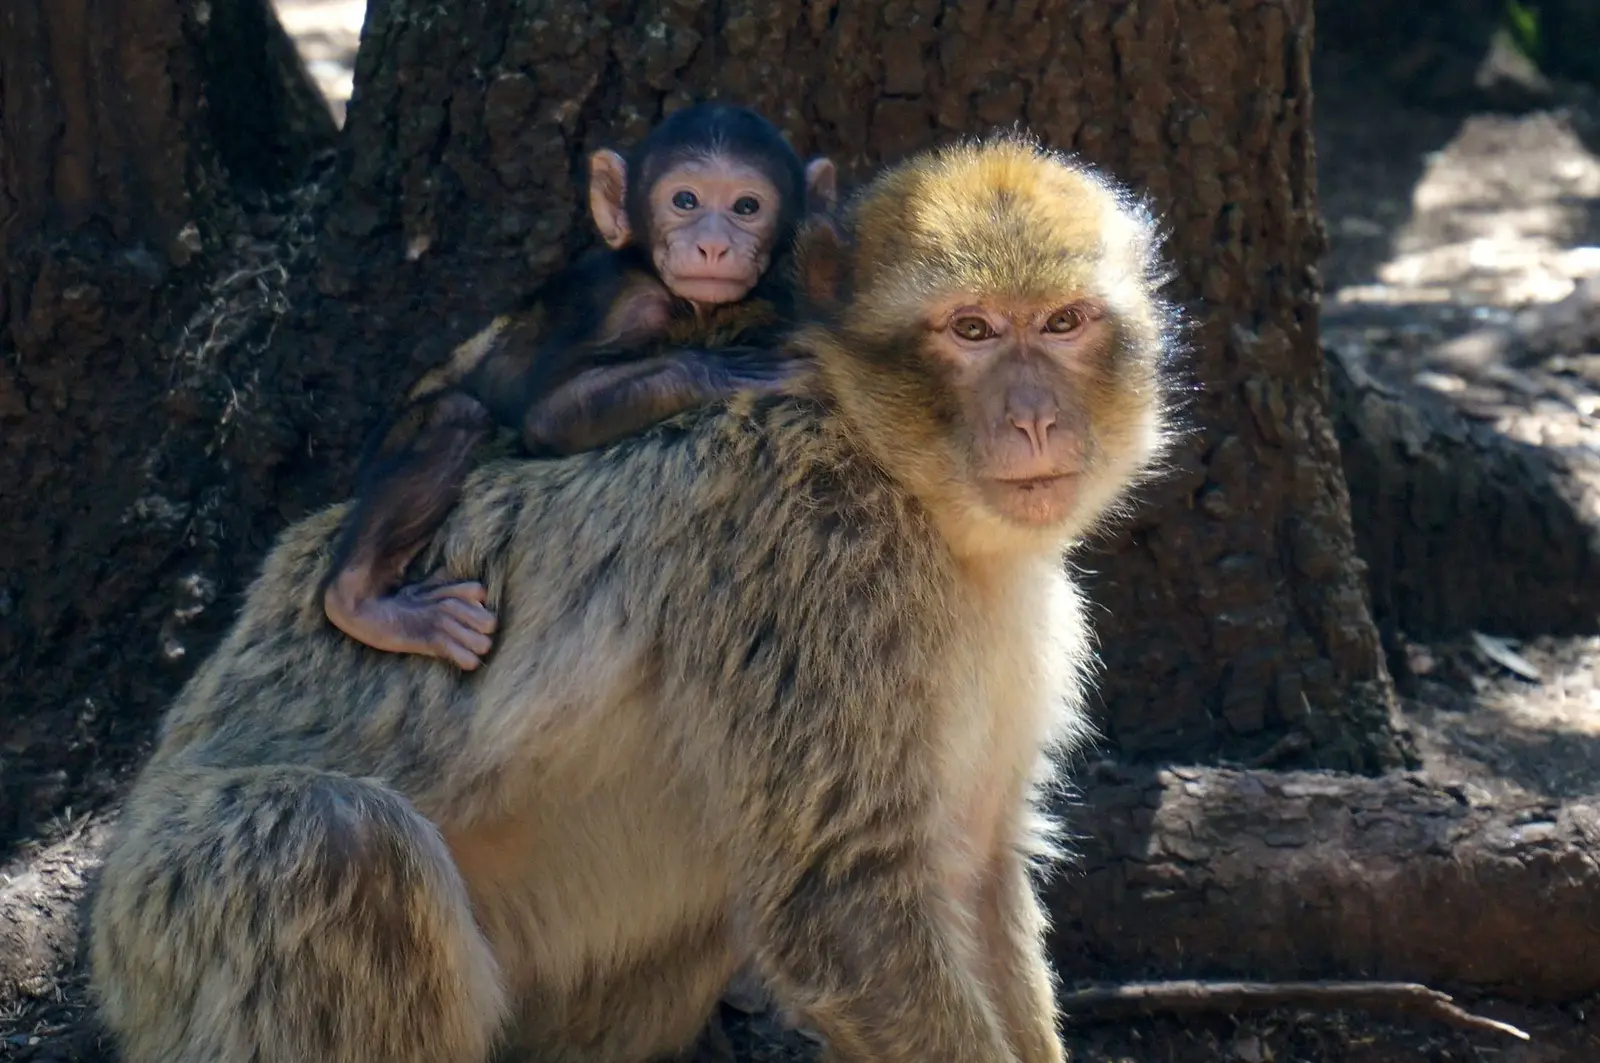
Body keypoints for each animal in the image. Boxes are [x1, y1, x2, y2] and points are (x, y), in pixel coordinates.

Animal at [323, 101, 839, 671]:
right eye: (685, 200)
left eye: (747, 206)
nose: (712, 244)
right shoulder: (634, 305)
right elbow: (553, 414)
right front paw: (733, 371)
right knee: (455, 415)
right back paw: (360, 601)